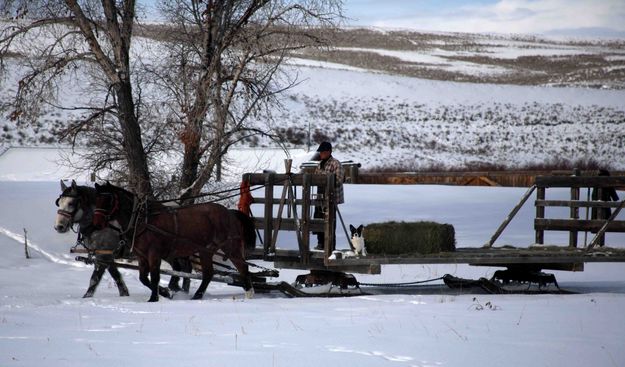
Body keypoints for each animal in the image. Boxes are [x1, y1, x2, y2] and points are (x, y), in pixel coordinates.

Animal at [92, 183, 254, 304]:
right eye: (96, 199)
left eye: (108, 200)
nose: (97, 224)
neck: (144, 220)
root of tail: (230, 213)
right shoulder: (142, 256)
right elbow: (143, 278)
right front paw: (165, 292)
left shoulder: (154, 254)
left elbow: (155, 276)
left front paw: (154, 298)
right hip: (205, 250)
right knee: (208, 273)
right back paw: (197, 296)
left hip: (230, 247)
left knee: (243, 267)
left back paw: (249, 293)